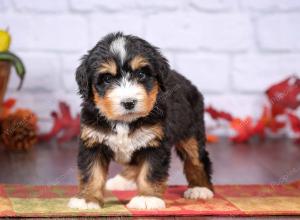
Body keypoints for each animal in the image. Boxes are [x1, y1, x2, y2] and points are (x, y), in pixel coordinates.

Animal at [68, 32, 213, 210]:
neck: (124, 122)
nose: (128, 102)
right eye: (107, 78)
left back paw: (200, 188)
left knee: (197, 160)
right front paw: (87, 199)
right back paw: (121, 181)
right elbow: (91, 173)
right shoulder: (93, 141)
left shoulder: (155, 143)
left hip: (191, 131)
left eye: (141, 75)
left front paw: (147, 198)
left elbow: (149, 172)